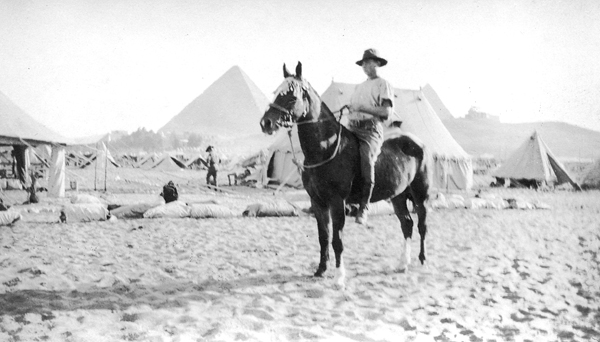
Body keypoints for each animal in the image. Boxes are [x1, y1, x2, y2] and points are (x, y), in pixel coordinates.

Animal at [258, 62, 432, 288]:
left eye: (292, 96)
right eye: (276, 93)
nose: (266, 123)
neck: (326, 149)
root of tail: (418, 144)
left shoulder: (337, 202)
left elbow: (337, 240)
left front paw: (339, 277)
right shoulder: (318, 202)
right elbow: (323, 237)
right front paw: (321, 270)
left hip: (420, 195)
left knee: (421, 225)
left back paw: (422, 260)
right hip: (398, 197)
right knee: (407, 224)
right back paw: (403, 263)